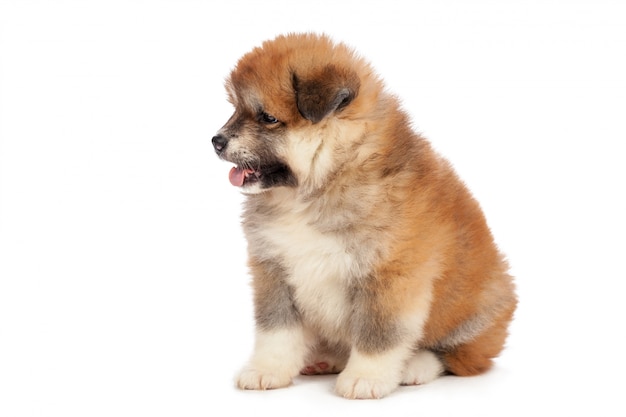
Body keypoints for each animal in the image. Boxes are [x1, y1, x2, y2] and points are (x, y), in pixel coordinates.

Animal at [212, 32, 516, 396]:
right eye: (235, 108)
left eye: (267, 118)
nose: (215, 141)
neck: (319, 185)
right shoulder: (274, 269)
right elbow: (275, 331)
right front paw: (266, 370)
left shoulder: (389, 275)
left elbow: (379, 335)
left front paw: (365, 378)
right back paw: (326, 358)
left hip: (474, 311)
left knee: (456, 356)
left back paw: (414, 366)